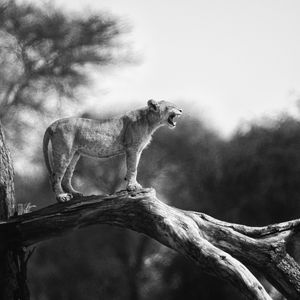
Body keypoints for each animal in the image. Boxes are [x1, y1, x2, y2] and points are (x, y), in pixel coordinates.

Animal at [43, 100, 182, 202]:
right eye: (171, 106)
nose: (181, 110)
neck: (150, 122)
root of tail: (53, 124)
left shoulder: (138, 150)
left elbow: (134, 167)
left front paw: (133, 184)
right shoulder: (132, 148)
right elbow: (132, 167)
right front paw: (133, 187)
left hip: (75, 154)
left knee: (67, 175)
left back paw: (75, 193)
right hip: (64, 152)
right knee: (55, 176)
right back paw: (62, 197)